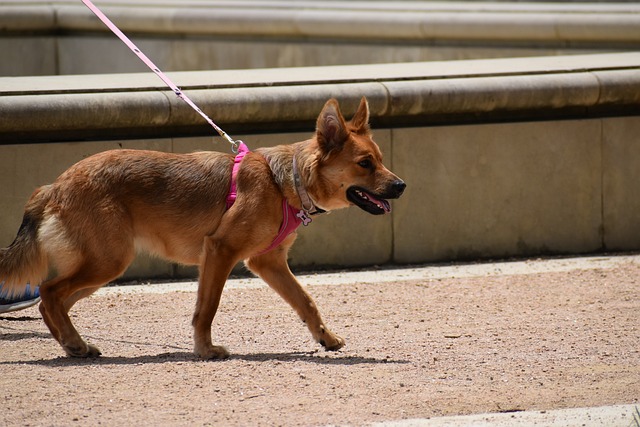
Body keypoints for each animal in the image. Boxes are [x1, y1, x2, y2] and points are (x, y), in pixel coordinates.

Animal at [1, 96, 404, 358]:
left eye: (381, 160)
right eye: (365, 163)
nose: (401, 186)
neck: (283, 181)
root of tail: (54, 185)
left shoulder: (269, 263)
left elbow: (305, 301)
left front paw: (326, 338)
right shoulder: (220, 252)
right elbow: (207, 307)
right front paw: (206, 349)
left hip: (101, 268)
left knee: (52, 301)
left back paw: (73, 344)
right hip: (107, 262)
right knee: (50, 291)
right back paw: (73, 343)